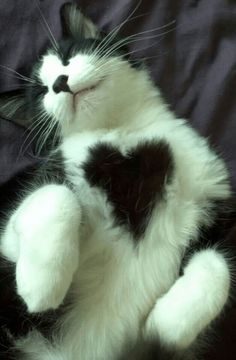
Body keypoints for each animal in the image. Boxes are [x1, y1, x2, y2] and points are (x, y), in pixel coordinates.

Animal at [0, 2, 233, 360]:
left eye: (68, 55)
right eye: (40, 92)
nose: (60, 83)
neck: (121, 130)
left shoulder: (214, 198)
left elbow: (218, 262)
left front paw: (168, 325)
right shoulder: (8, 243)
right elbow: (56, 194)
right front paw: (41, 283)